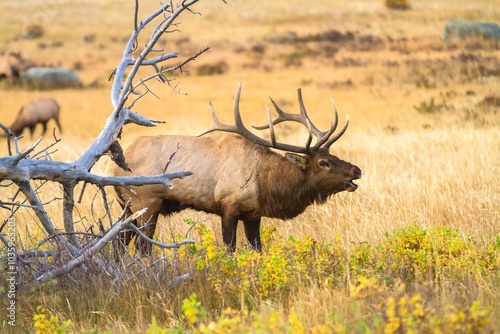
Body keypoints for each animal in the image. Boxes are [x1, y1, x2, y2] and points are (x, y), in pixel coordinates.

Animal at [107, 85, 362, 254]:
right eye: (323, 163)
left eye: (333, 156)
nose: (356, 170)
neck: (265, 182)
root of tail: (110, 166)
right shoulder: (228, 205)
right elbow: (229, 248)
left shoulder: (254, 214)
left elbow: (257, 249)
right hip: (147, 203)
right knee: (142, 247)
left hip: (127, 208)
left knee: (118, 244)